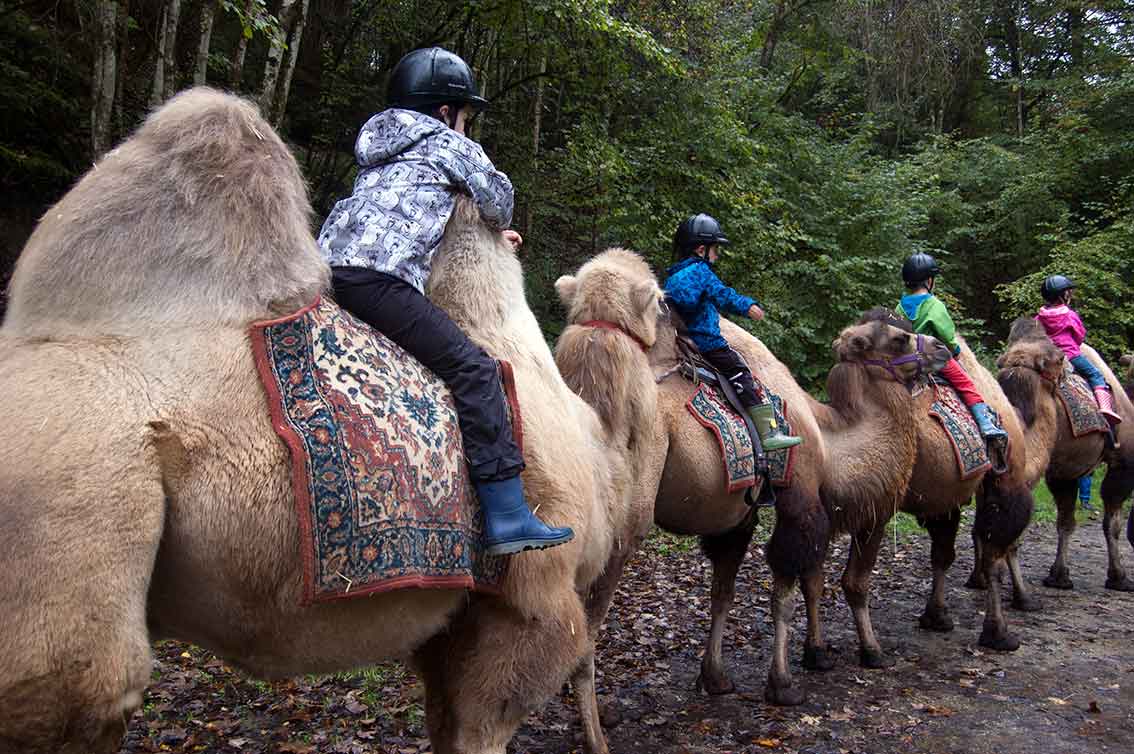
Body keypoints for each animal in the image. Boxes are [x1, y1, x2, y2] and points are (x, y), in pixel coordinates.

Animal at [553, 250, 954, 753]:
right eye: (900, 335)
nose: (944, 349)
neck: (829, 441)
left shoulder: (736, 517)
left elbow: (724, 593)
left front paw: (717, 677)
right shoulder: (799, 496)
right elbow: (784, 592)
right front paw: (784, 684)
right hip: (621, 523)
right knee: (583, 627)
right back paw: (594, 734)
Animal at [994, 319, 1134, 593]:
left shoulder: (1063, 473)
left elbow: (1066, 522)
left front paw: (1058, 576)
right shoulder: (1124, 464)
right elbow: (1111, 525)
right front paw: (1119, 577)